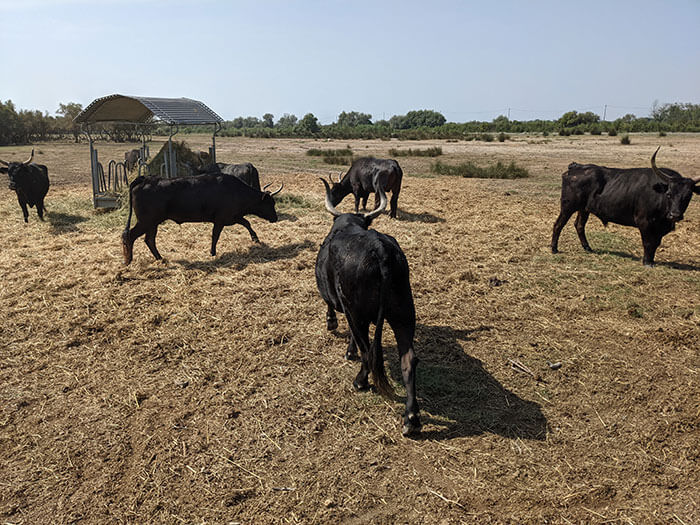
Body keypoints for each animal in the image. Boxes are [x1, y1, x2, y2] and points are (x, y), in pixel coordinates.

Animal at [121, 173, 284, 264]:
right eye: (270, 203)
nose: (275, 218)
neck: (236, 191)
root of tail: (145, 179)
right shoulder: (221, 220)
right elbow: (215, 235)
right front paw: (212, 252)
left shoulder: (233, 217)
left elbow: (247, 223)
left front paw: (255, 238)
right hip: (146, 221)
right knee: (130, 236)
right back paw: (128, 260)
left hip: (152, 223)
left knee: (149, 240)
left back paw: (160, 258)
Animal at [318, 175, 422, 434]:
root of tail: (380, 251)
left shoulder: (344, 306)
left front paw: (334, 328)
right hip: (404, 315)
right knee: (408, 359)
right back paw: (411, 418)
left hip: (359, 314)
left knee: (367, 350)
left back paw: (360, 381)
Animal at [552, 149, 700, 268]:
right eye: (669, 194)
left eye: (688, 196)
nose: (675, 215)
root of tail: (576, 167)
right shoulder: (644, 222)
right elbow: (648, 242)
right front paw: (647, 262)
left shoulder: (660, 228)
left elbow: (655, 243)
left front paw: (651, 260)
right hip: (568, 206)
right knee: (558, 224)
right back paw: (554, 249)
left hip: (584, 209)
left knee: (579, 225)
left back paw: (588, 248)